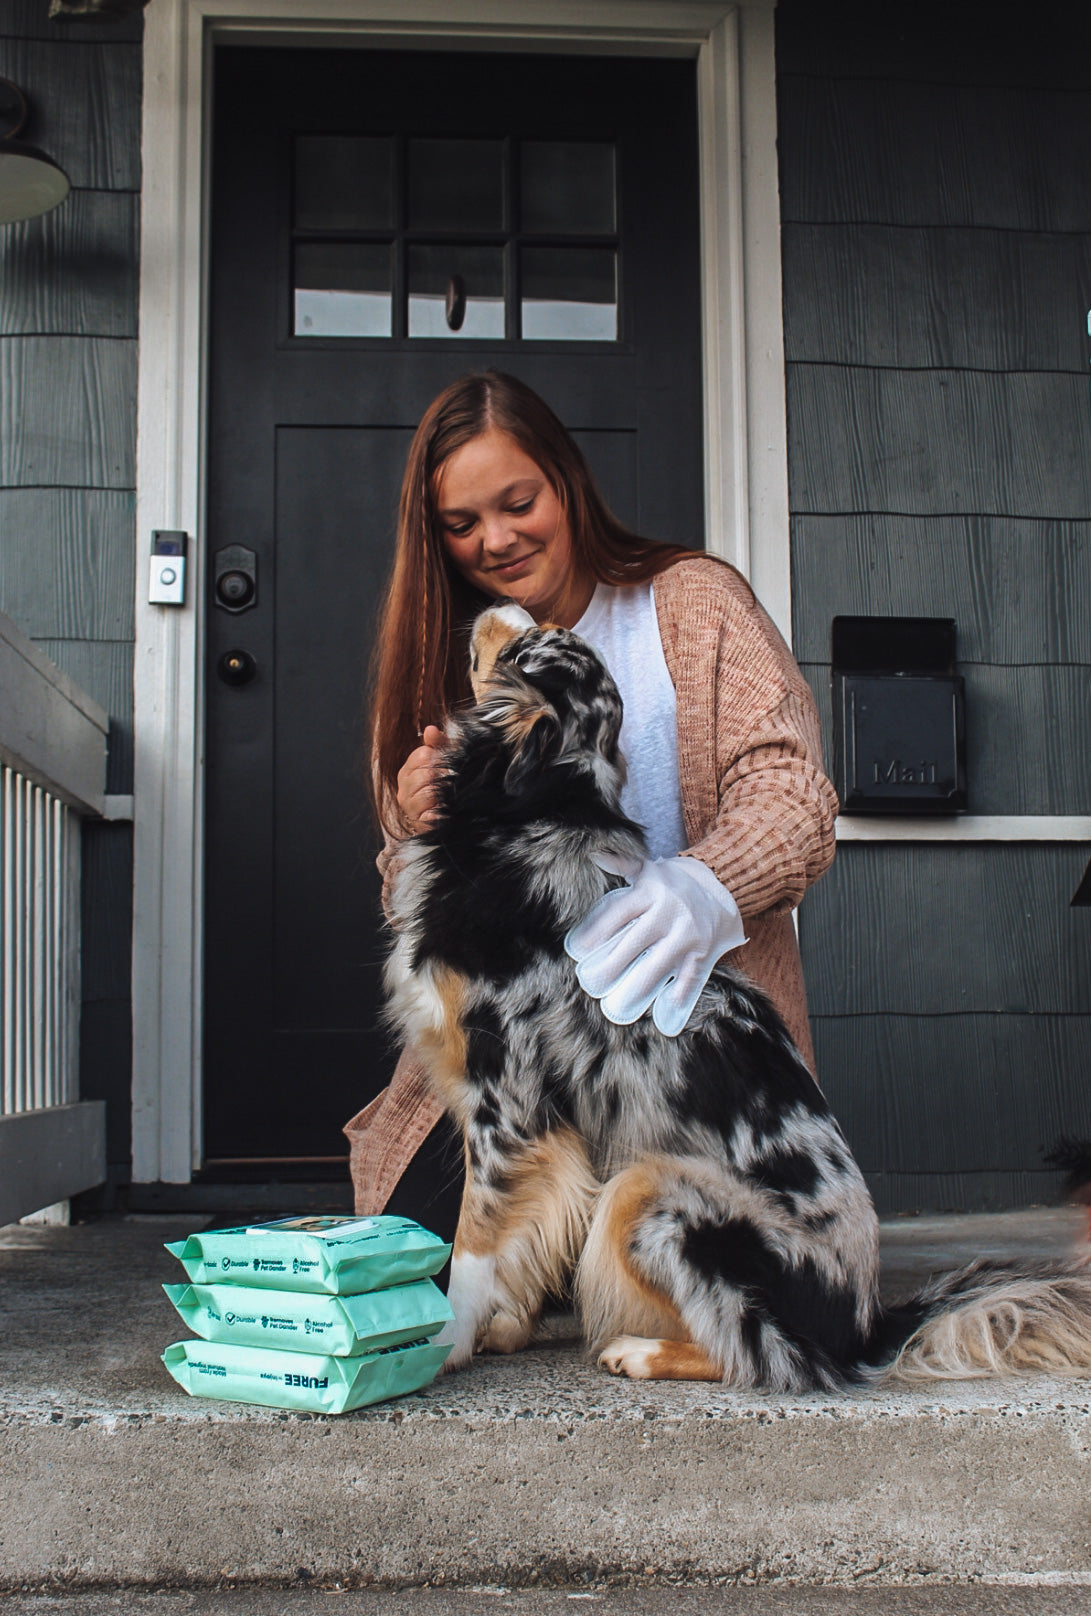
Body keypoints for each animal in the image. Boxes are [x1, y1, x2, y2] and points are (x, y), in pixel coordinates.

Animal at [381, 607, 1091, 1389]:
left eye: (524, 646)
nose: (497, 607)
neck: (530, 818)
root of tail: (867, 1326)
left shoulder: (507, 1108)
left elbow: (474, 1247)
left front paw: (446, 1339)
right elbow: (522, 1245)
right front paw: (504, 1328)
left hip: (652, 1193)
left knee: (762, 1355)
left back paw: (642, 1351)